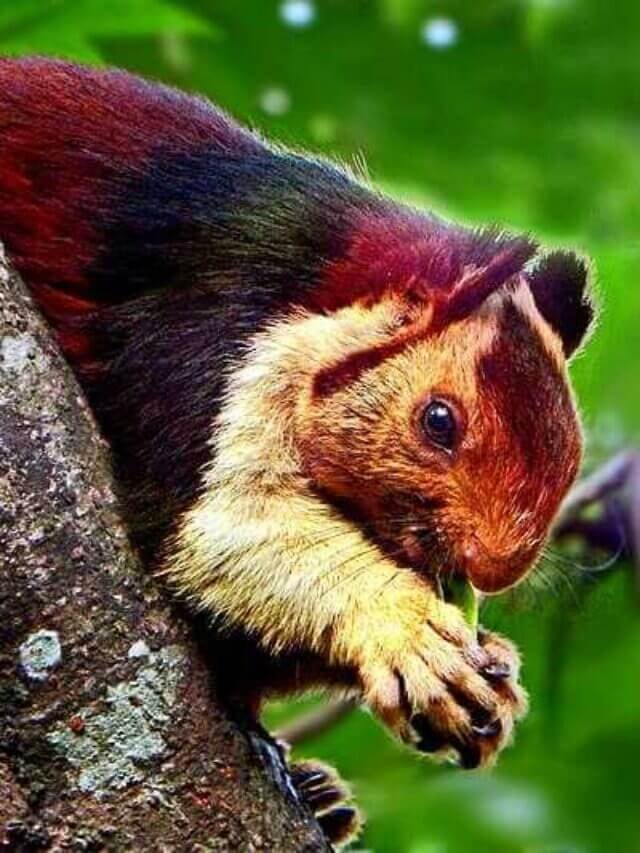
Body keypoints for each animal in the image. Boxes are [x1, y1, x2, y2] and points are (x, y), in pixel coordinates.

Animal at [0, 57, 595, 847]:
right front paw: (409, 633)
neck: (320, 288)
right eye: (438, 421)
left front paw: (494, 670)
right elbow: (214, 529)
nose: (489, 567)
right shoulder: (197, 350)